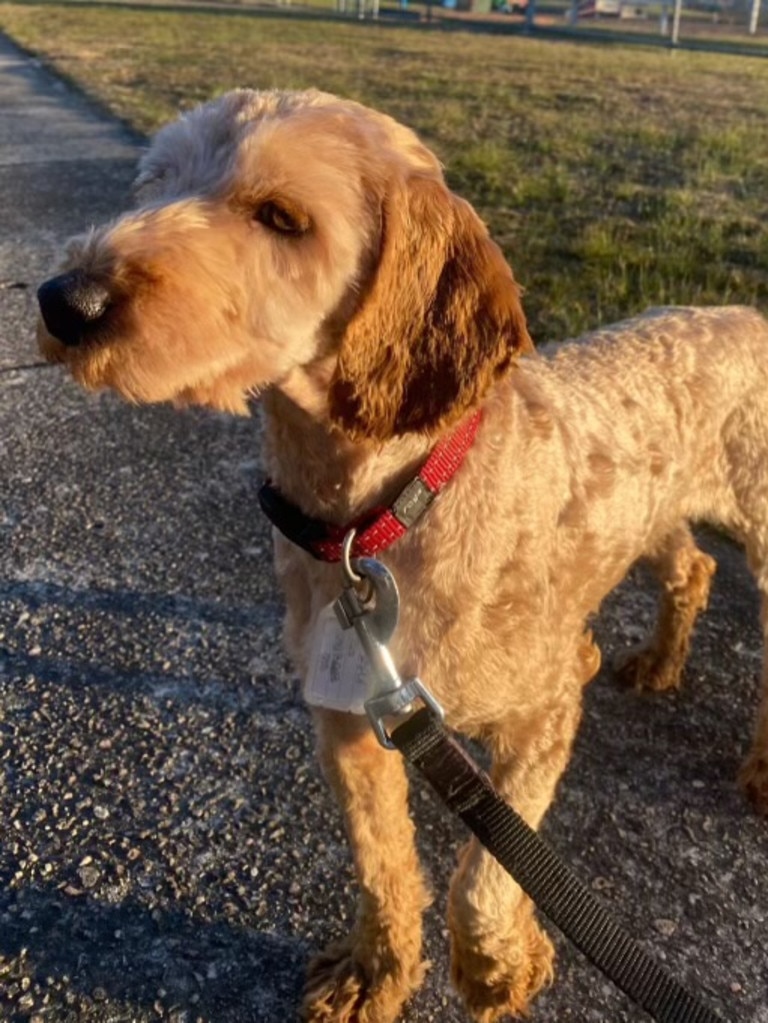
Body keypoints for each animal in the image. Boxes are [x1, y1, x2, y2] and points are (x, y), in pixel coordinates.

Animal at [34, 90, 768, 1023]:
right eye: (154, 184)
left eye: (281, 217)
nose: (65, 299)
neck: (380, 516)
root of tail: (745, 313)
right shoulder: (350, 719)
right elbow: (382, 861)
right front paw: (374, 972)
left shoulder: (546, 705)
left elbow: (484, 876)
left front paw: (499, 966)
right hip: (653, 514)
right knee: (691, 569)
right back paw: (662, 661)